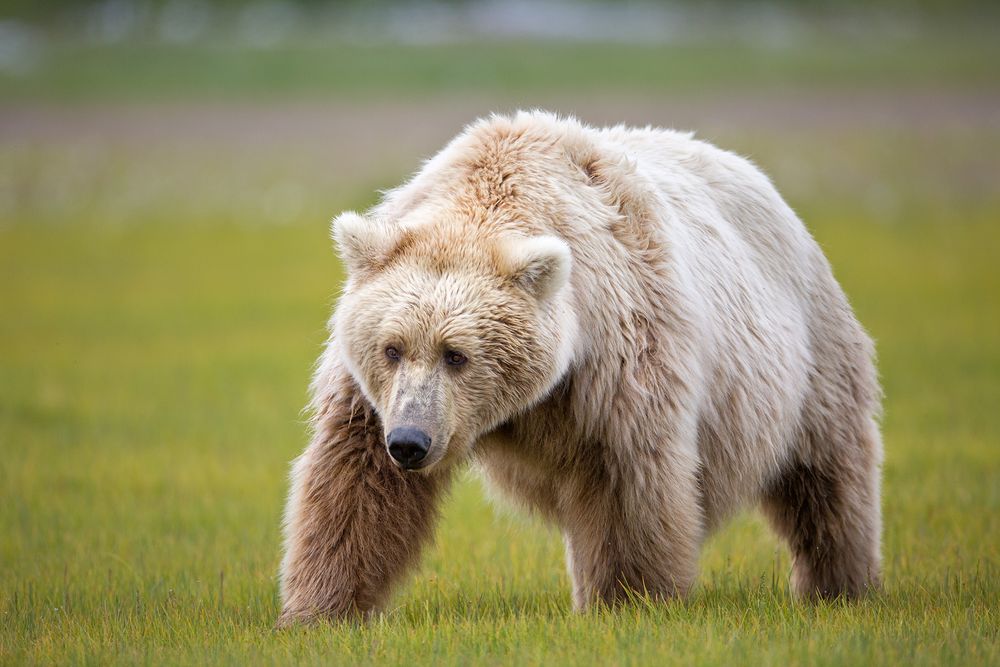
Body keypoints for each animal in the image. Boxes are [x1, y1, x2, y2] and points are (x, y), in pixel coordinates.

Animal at [277, 110, 882, 626]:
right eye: (392, 348)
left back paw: (840, 585)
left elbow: (627, 484)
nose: (409, 442)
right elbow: (353, 480)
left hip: (806, 353)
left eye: (457, 354)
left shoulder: (620, 355)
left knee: (827, 472)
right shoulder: (370, 397)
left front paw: (629, 600)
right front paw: (320, 611)